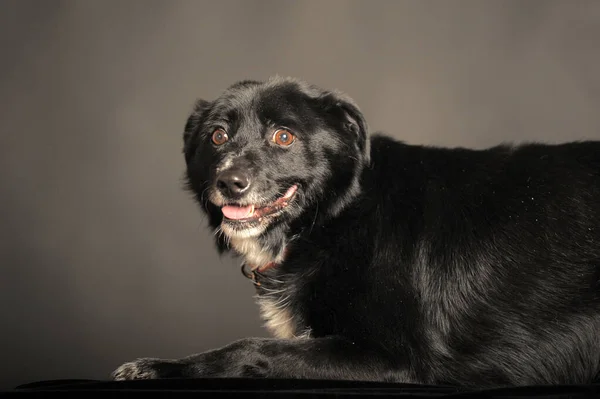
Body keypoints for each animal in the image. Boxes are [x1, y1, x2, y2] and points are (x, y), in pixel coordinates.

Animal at [112, 76, 600, 390]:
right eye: (217, 136)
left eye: (284, 137)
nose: (230, 182)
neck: (335, 219)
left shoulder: (398, 358)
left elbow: (251, 349)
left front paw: (160, 367)